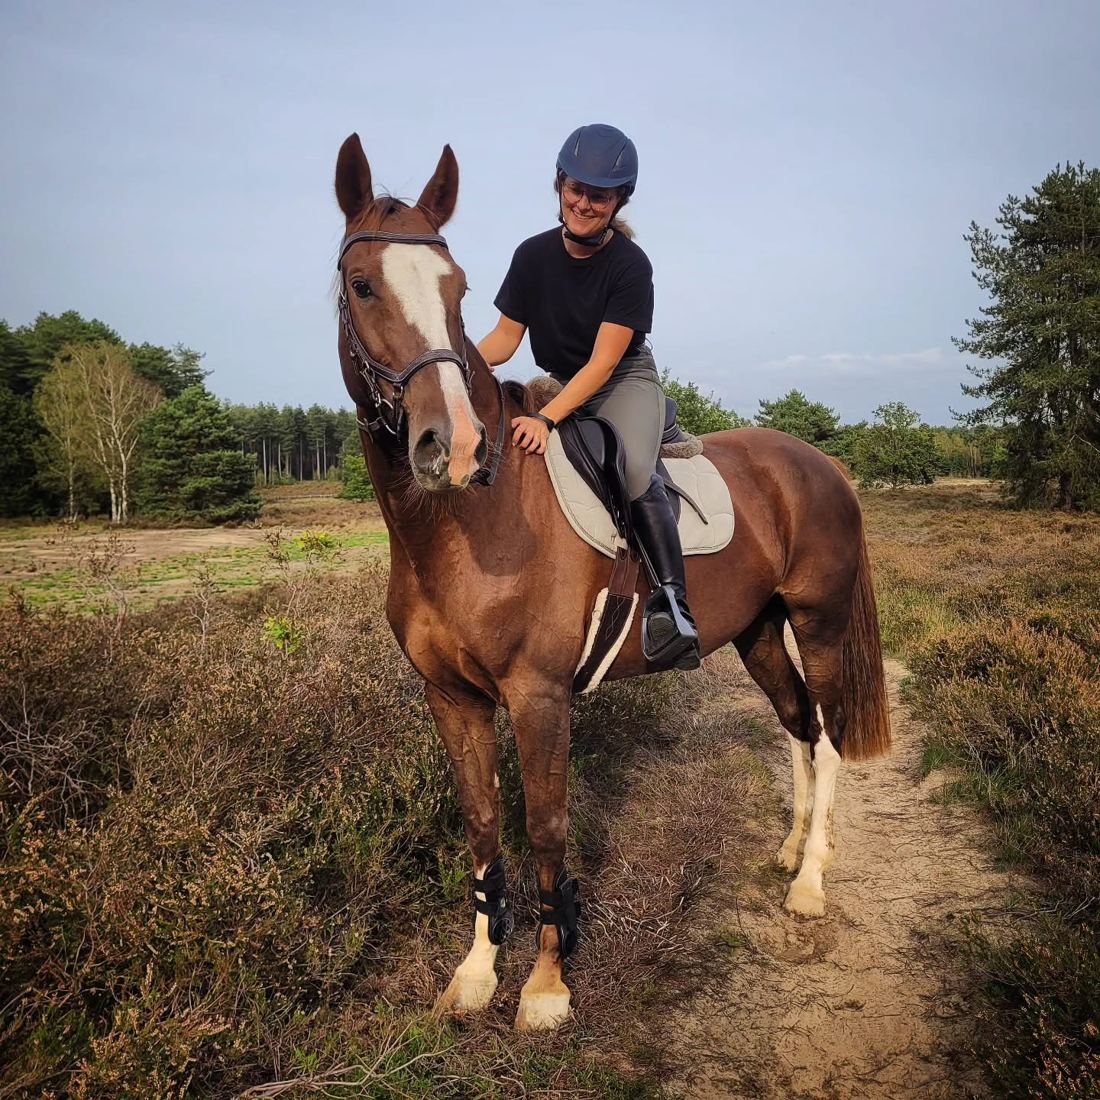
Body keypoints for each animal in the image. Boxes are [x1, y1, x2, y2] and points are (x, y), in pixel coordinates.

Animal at [331, 134, 891, 1032]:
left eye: (455, 289)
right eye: (362, 284)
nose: (452, 447)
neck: (466, 525)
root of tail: (820, 464)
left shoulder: (538, 694)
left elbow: (547, 828)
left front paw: (546, 987)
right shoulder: (450, 697)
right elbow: (483, 824)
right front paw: (477, 973)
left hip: (822, 623)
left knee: (832, 736)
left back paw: (810, 881)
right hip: (761, 632)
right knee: (800, 726)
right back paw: (789, 850)